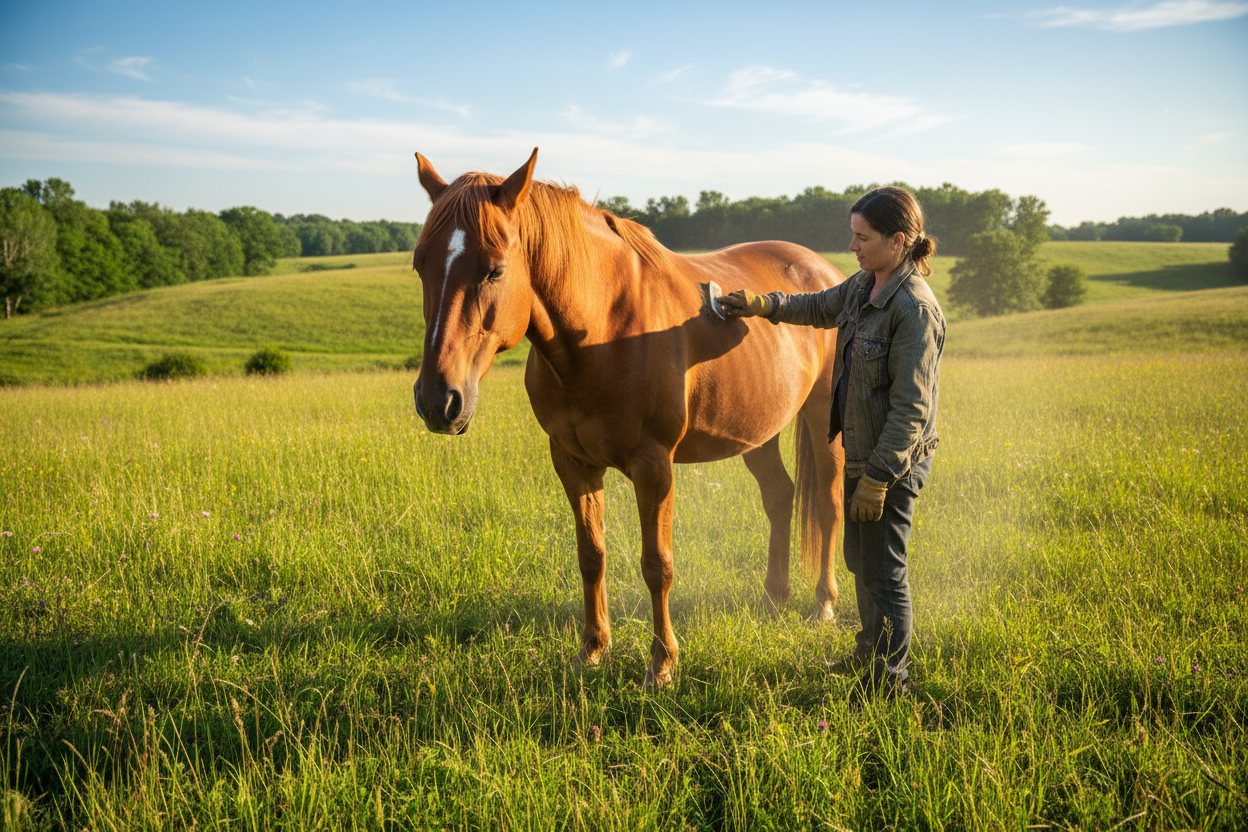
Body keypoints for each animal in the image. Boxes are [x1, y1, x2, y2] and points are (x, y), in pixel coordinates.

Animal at [411, 148, 846, 687]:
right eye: (420, 264)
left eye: (494, 270)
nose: (438, 401)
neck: (603, 331)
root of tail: (825, 273)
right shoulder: (572, 463)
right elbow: (591, 555)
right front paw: (592, 650)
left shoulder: (653, 466)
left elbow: (656, 564)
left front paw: (661, 664)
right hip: (757, 431)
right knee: (779, 497)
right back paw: (773, 597)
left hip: (822, 419)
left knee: (827, 504)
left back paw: (823, 604)